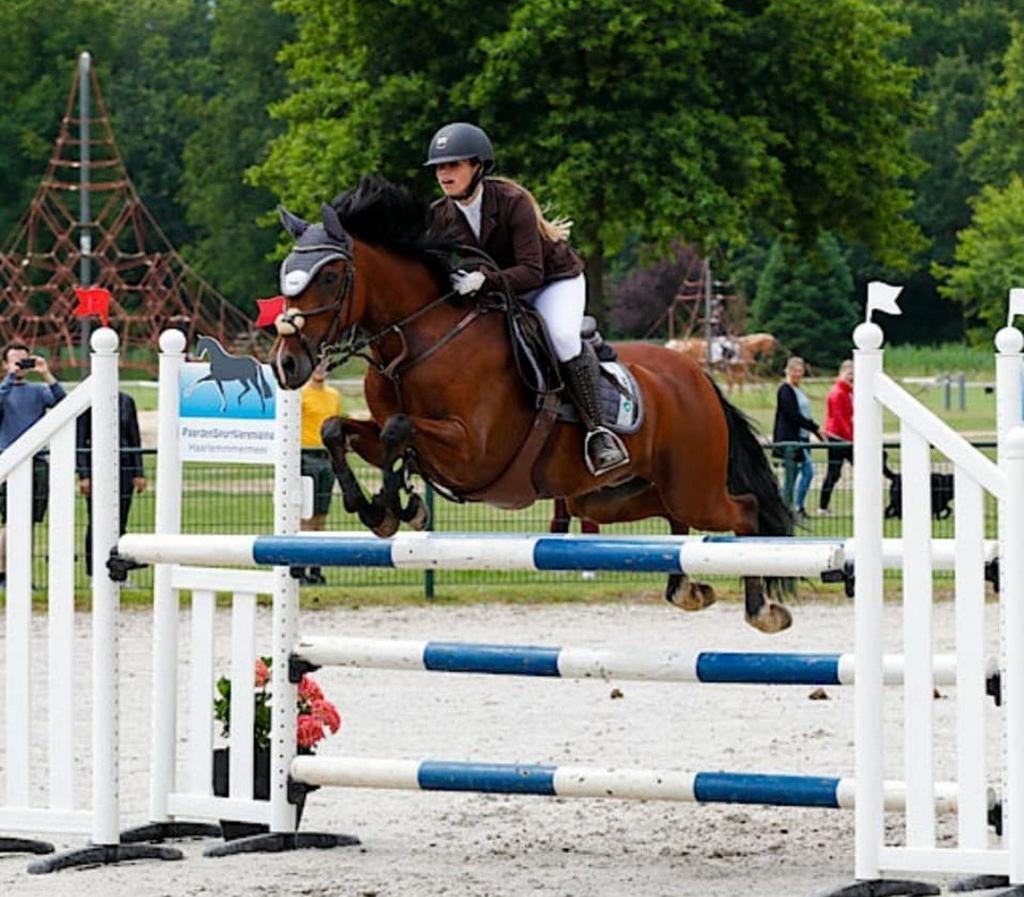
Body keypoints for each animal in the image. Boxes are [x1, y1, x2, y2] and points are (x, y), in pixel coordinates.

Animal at [268, 175, 794, 634]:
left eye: (330, 275)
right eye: (286, 276)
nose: (286, 364)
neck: (419, 340)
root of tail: (696, 376)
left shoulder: (473, 452)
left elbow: (400, 428)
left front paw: (390, 509)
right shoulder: (399, 437)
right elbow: (340, 430)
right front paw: (386, 508)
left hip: (692, 485)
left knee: (744, 512)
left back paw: (762, 610)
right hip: (606, 496)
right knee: (671, 519)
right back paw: (686, 588)